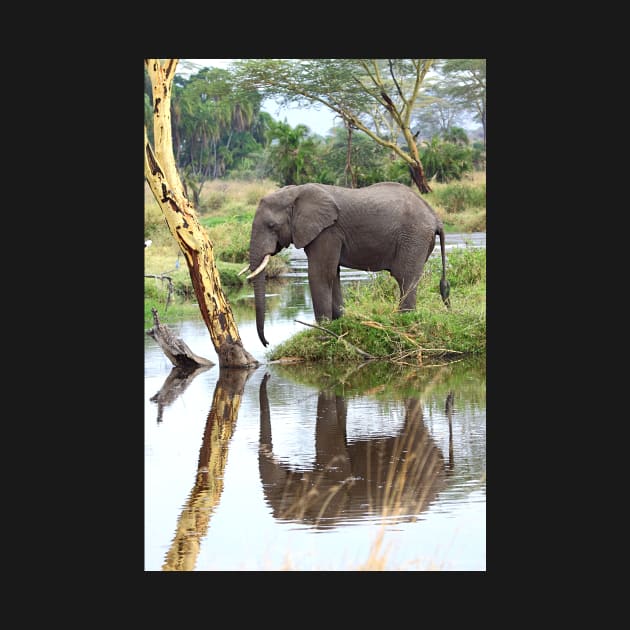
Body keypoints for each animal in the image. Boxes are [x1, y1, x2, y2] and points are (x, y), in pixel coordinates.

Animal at [243, 183, 454, 348]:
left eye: (271, 226)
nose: (267, 343)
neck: (295, 192)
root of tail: (436, 218)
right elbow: (333, 274)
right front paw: (339, 323)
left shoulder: (326, 232)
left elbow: (320, 274)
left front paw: (323, 333)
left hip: (414, 237)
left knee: (405, 278)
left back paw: (402, 321)